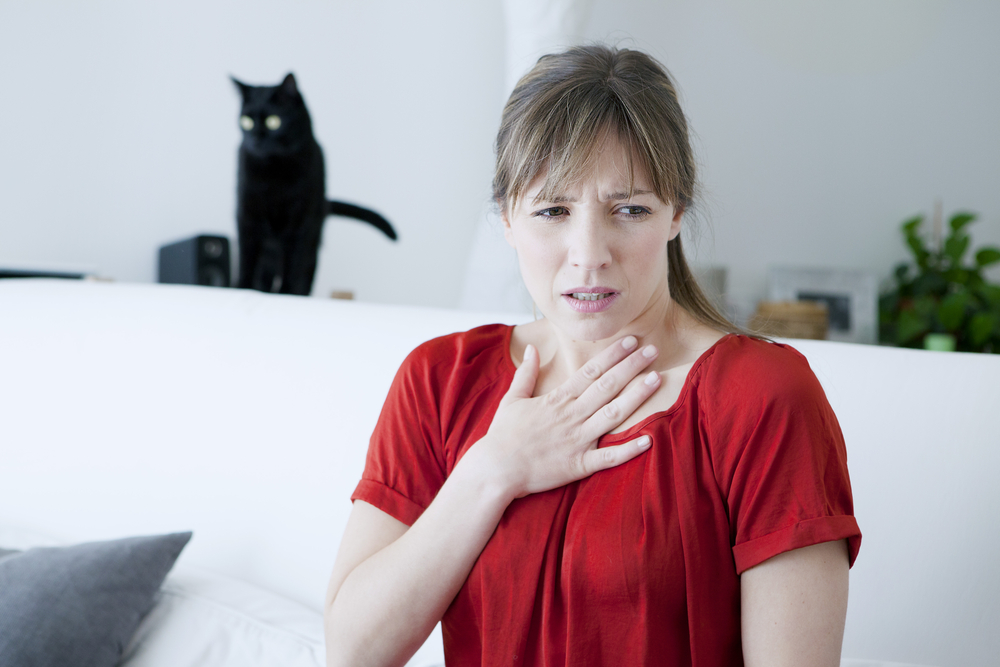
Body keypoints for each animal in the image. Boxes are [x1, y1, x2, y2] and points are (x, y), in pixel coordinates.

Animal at [232, 73, 396, 294]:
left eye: (274, 122)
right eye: (246, 121)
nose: (255, 139)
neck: (274, 170)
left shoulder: (301, 221)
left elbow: (293, 263)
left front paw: (288, 293)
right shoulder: (246, 213)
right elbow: (247, 258)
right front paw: (242, 287)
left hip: (314, 237)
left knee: (305, 267)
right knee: (265, 270)